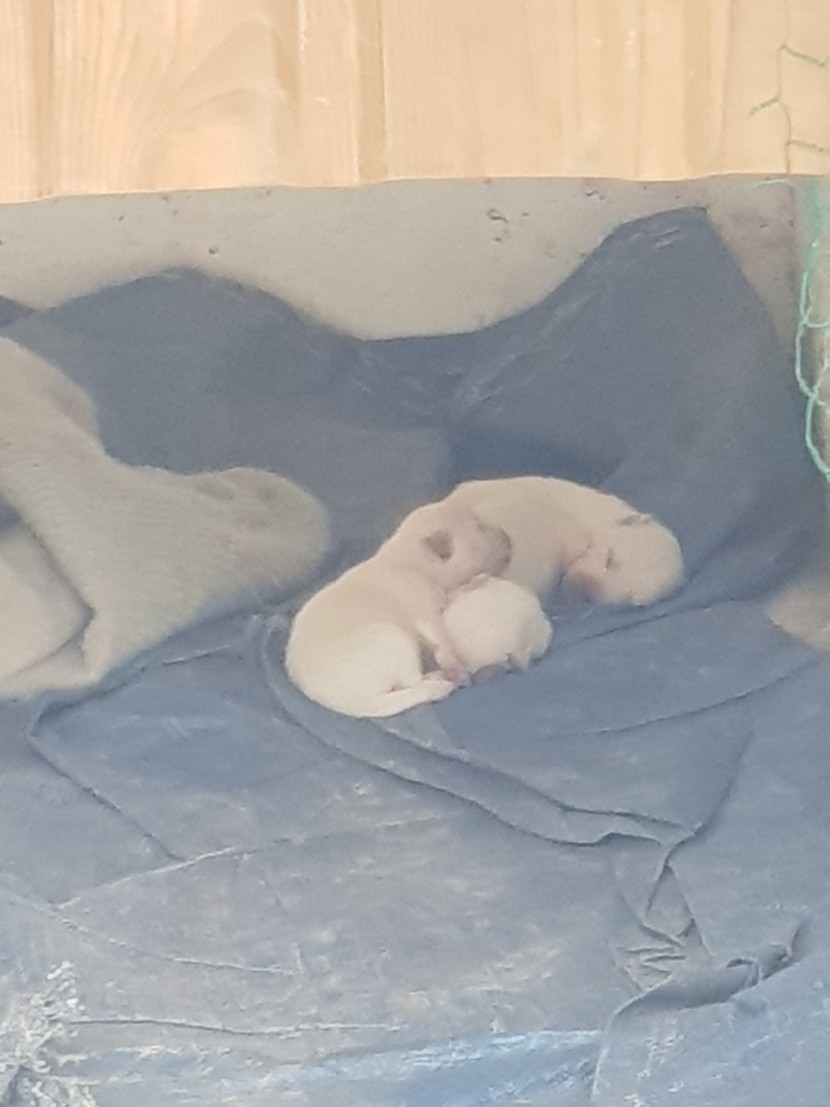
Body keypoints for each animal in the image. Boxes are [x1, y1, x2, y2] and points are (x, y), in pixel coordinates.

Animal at [284, 501, 511, 718]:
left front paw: (476, 580)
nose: (507, 536)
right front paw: (457, 666)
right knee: (412, 681)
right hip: (397, 640)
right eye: (479, 527)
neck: (410, 559)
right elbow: (443, 640)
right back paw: (440, 679)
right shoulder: (425, 613)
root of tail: (347, 704)